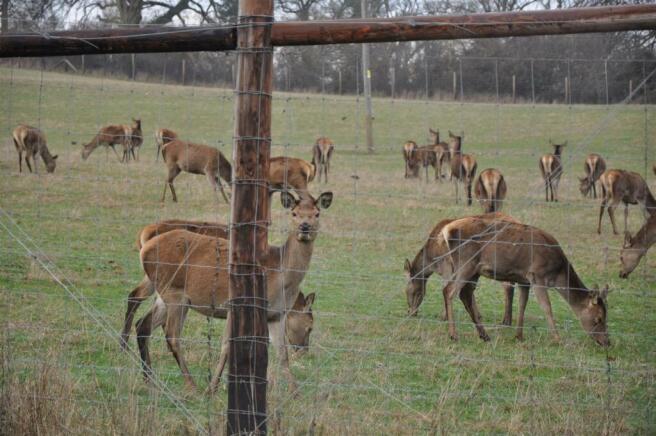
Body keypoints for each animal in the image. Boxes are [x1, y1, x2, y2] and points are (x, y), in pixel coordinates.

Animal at [135, 191, 333, 391]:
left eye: (317, 213)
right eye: (294, 213)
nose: (305, 226)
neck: (279, 276)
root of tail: (144, 247)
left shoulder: (276, 314)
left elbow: (281, 354)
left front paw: (294, 392)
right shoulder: (235, 303)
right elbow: (227, 347)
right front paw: (212, 388)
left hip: (165, 293)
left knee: (143, 324)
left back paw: (148, 379)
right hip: (174, 293)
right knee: (172, 335)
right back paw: (192, 385)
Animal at [435, 215, 609, 346]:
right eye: (598, 318)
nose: (606, 342)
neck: (557, 272)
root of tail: (446, 230)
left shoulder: (524, 280)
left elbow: (522, 304)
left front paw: (519, 335)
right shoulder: (537, 275)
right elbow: (546, 307)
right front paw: (558, 339)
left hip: (473, 270)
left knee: (464, 294)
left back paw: (484, 335)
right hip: (466, 262)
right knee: (449, 290)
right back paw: (453, 334)